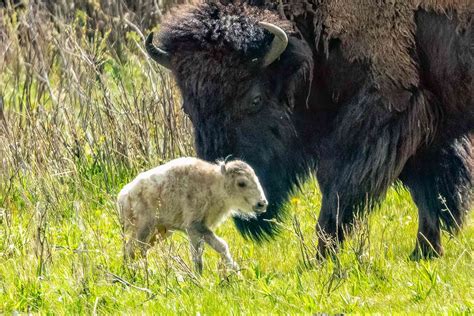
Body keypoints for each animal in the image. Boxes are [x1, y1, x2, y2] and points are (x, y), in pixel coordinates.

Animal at [117, 157, 268, 272]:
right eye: (241, 183)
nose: (262, 203)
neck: (213, 185)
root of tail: (124, 196)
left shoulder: (199, 229)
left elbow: (215, 248)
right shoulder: (194, 226)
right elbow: (203, 253)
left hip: (160, 232)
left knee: (135, 250)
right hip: (144, 228)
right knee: (134, 248)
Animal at [146, 0, 472, 258]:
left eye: (255, 99)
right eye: (188, 108)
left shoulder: (384, 113)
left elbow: (338, 187)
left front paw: (320, 257)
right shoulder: (424, 125)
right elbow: (430, 190)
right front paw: (425, 253)